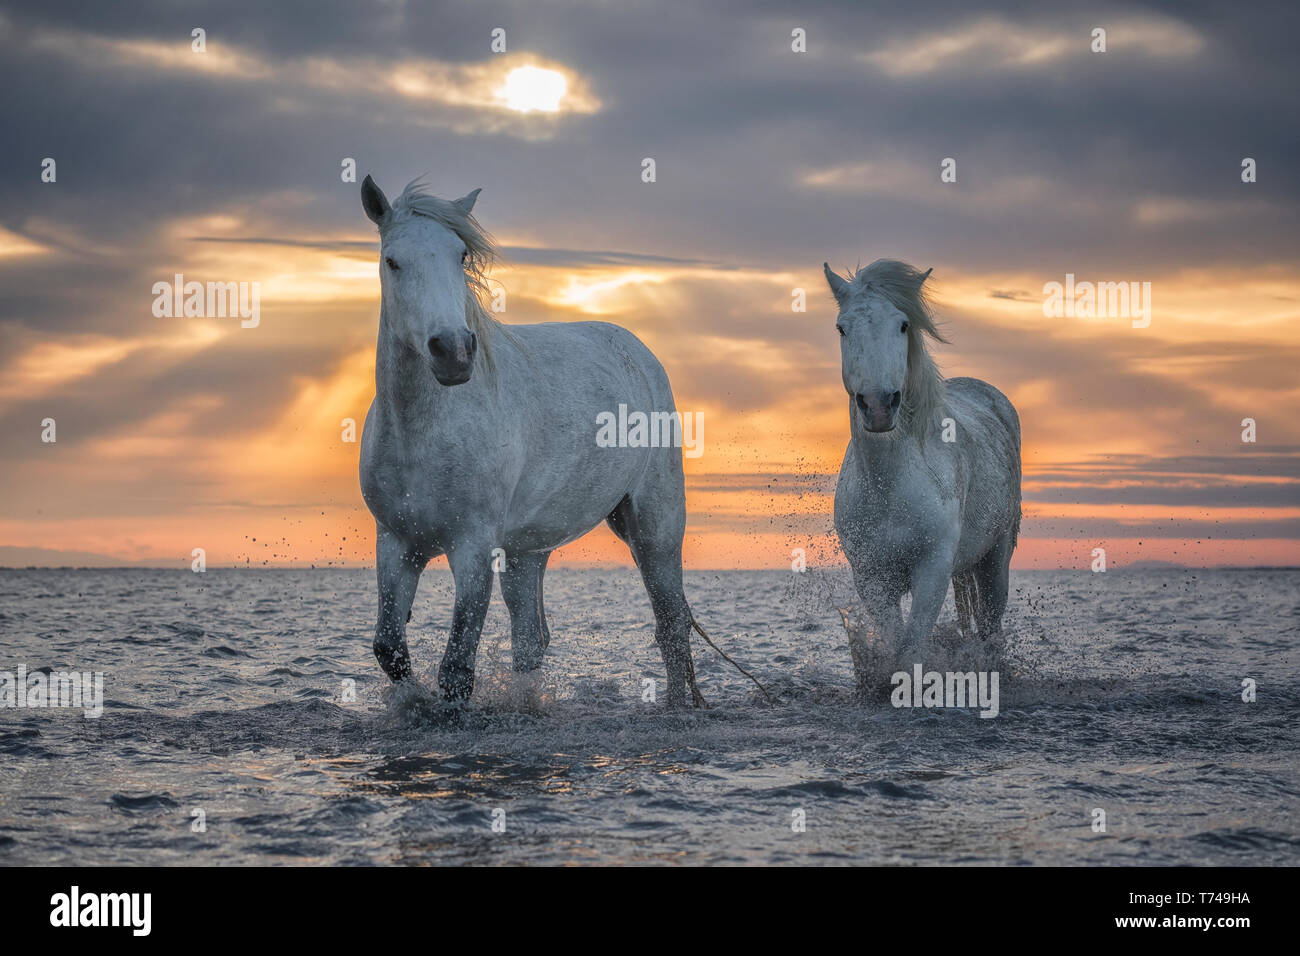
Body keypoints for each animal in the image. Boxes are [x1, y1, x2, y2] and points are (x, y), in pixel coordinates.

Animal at [357, 174, 703, 707]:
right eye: (393, 261)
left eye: (460, 256)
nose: (452, 352)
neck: (422, 434)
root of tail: (637, 352)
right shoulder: (396, 544)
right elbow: (390, 649)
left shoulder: (472, 546)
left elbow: (457, 669)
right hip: (527, 552)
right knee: (531, 640)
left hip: (655, 529)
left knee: (671, 626)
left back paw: (677, 706)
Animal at [823, 259, 1021, 693]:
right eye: (842, 328)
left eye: (902, 325)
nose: (878, 405)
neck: (888, 487)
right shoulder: (872, 580)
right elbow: (895, 643)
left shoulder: (932, 571)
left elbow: (910, 651)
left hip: (996, 556)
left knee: (991, 626)